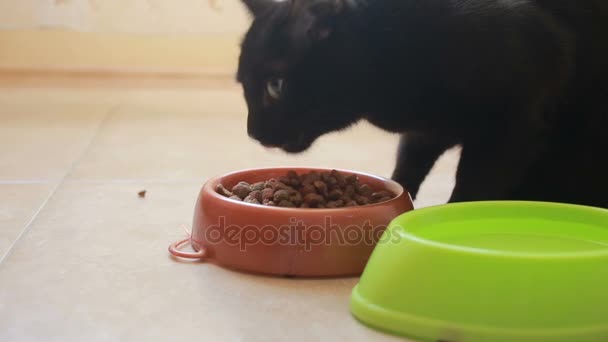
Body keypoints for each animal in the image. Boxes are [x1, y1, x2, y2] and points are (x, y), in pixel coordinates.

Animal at [235, 0, 604, 208]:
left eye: (275, 86)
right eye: (243, 85)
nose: (252, 132)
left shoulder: (510, 132)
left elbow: (472, 188)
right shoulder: (426, 131)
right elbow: (406, 169)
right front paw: (397, 200)